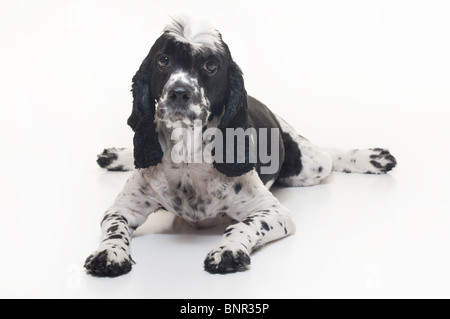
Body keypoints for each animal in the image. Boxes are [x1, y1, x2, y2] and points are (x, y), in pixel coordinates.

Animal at [85, 16, 398, 278]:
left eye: (211, 65)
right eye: (163, 60)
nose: (179, 93)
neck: (187, 156)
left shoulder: (273, 211)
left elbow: (243, 224)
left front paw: (228, 251)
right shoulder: (123, 207)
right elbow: (114, 228)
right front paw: (109, 253)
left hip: (310, 165)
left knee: (328, 155)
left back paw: (373, 158)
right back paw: (116, 156)